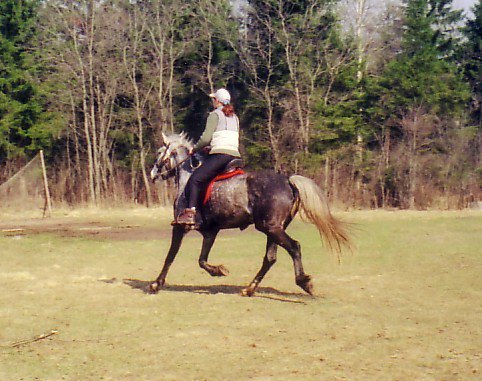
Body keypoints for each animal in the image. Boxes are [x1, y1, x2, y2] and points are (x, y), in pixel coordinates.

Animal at [148, 132, 350, 296]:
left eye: (159, 152)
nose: (152, 174)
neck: (187, 178)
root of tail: (288, 181)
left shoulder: (180, 228)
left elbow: (171, 256)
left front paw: (156, 284)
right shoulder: (210, 232)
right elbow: (202, 260)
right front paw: (218, 270)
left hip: (271, 228)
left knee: (294, 247)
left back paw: (304, 282)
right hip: (273, 229)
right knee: (270, 258)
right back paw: (249, 289)